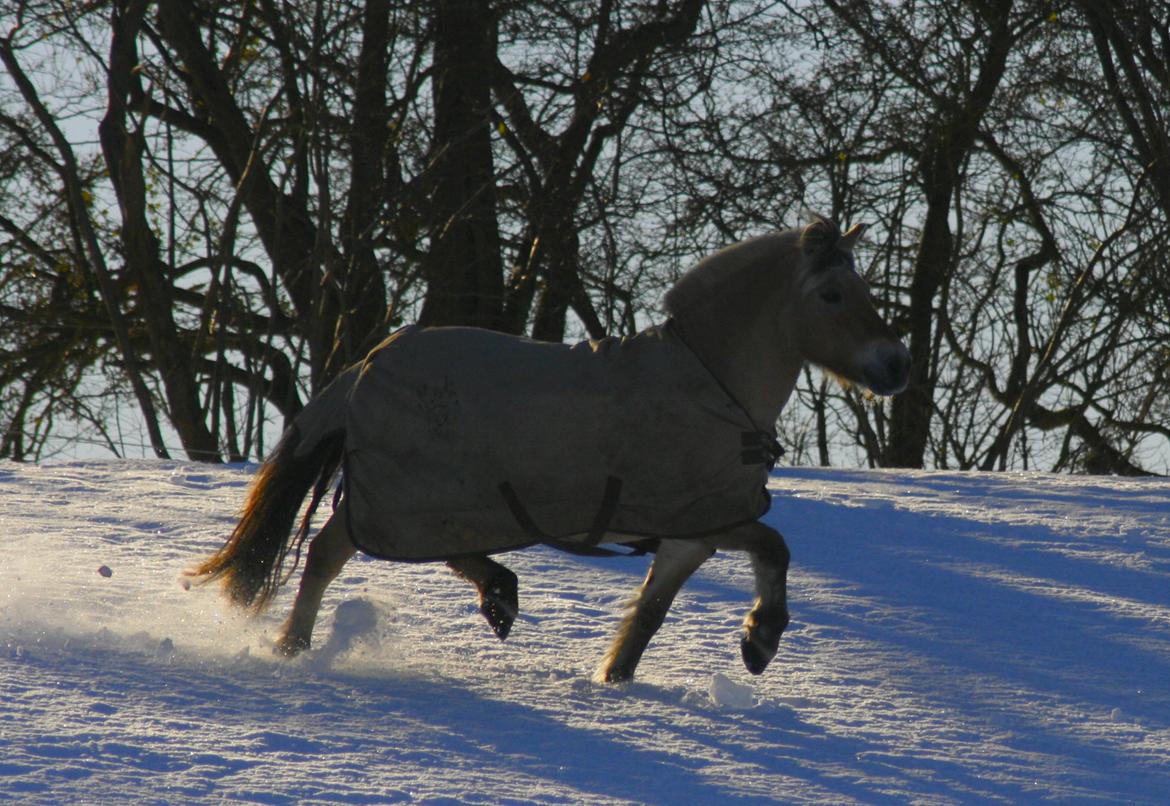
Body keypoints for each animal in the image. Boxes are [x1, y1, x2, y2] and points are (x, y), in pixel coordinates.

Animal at [191, 214, 907, 678]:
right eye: (833, 294)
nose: (895, 367)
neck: (709, 379)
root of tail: (370, 361)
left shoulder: (690, 533)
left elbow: (648, 616)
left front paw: (614, 682)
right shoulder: (710, 516)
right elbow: (776, 549)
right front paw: (760, 642)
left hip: (449, 504)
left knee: (426, 552)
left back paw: (500, 597)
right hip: (410, 503)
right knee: (326, 552)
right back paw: (293, 648)